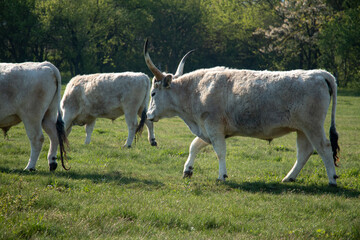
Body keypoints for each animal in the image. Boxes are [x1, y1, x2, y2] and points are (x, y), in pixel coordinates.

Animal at [143, 39, 340, 186]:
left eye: (153, 93)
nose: (148, 115)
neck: (196, 90)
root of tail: (320, 73)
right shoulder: (209, 129)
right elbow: (194, 145)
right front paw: (187, 170)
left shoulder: (213, 127)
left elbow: (219, 151)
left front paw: (221, 176)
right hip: (302, 129)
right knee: (304, 152)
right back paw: (289, 177)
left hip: (312, 126)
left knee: (324, 147)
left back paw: (332, 180)